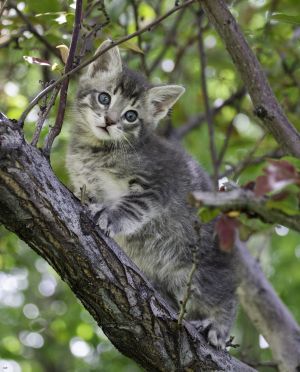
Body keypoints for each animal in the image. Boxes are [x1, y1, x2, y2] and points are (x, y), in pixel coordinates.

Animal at [67, 40, 238, 348]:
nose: (109, 121)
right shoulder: (86, 181)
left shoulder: (159, 183)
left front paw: (110, 218)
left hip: (201, 268)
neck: (97, 149)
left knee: (223, 296)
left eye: (131, 116)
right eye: (104, 98)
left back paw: (217, 325)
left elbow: (133, 207)